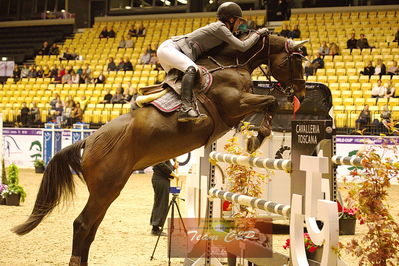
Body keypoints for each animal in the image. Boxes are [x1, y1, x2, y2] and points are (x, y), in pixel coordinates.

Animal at [12, 30, 306, 264]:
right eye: (295, 60)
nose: (301, 94)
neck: (230, 64)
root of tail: (89, 140)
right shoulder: (235, 104)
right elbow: (269, 101)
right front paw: (257, 137)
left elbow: (268, 105)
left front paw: (256, 135)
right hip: (106, 188)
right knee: (82, 224)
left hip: (108, 191)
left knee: (91, 228)